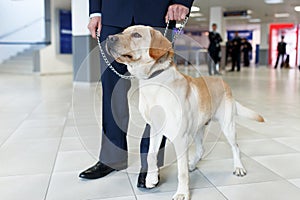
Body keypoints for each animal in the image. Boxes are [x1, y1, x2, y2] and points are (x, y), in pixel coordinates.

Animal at [105, 25, 262, 200]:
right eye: (123, 31)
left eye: (136, 35)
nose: (109, 38)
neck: (153, 82)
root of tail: (223, 81)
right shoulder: (155, 129)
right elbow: (151, 155)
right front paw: (151, 178)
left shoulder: (180, 138)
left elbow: (181, 171)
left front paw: (182, 192)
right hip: (198, 128)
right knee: (201, 150)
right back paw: (192, 164)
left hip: (227, 126)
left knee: (236, 147)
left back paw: (238, 167)